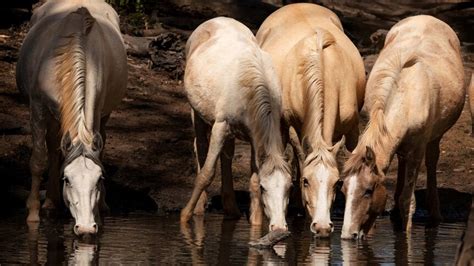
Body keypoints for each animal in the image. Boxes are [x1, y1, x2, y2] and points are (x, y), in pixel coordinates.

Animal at [16, 0, 128, 237]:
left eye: (99, 179)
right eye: (66, 180)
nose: (85, 227)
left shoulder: (96, 111)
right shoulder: (38, 107)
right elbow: (38, 160)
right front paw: (33, 214)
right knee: (52, 146)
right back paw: (49, 203)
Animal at [181, 17, 292, 233]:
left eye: (289, 188)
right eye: (266, 189)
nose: (279, 227)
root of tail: (216, 19)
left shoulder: (254, 135)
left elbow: (253, 179)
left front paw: (256, 225)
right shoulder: (220, 126)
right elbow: (207, 173)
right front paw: (185, 216)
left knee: (227, 155)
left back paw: (231, 208)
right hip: (196, 112)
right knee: (200, 146)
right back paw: (199, 208)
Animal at [256, 2, 366, 237]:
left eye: (337, 183)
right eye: (306, 182)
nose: (323, 227)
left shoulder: (353, 129)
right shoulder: (294, 129)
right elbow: (299, 161)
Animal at [340, 14, 466, 239]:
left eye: (369, 190)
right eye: (343, 190)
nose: (347, 235)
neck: (407, 97)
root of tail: (427, 17)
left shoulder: (417, 150)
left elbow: (409, 200)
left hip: (434, 138)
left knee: (432, 161)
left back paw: (435, 213)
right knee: (401, 160)